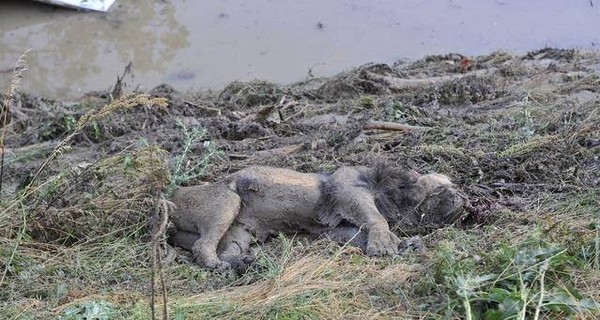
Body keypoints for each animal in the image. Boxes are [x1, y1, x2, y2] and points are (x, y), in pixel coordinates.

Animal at [169, 164, 464, 272]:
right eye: (440, 188)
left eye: (454, 184)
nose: (464, 198)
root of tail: (173, 196)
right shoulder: (349, 192)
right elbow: (376, 219)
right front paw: (384, 245)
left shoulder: (335, 229)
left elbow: (359, 234)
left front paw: (405, 244)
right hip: (227, 202)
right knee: (202, 246)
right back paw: (219, 266)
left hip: (240, 232)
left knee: (225, 249)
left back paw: (245, 263)